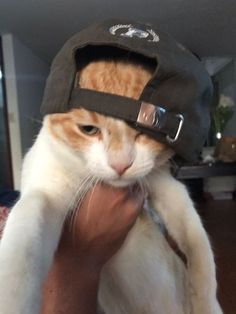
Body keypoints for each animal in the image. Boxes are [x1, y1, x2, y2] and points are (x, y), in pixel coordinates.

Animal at [0, 57, 222, 312]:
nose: (121, 165)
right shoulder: (45, 190)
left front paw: (205, 300)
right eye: (88, 129)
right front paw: (11, 299)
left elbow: (197, 241)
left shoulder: (164, 183)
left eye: (146, 133)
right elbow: (23, 242)